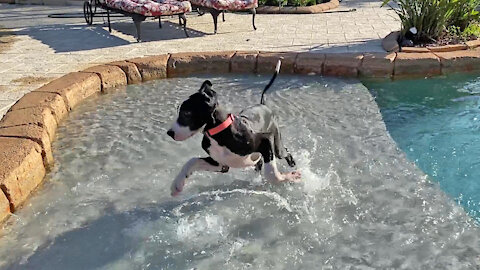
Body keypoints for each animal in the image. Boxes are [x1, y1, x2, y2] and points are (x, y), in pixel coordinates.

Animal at [166, 60, 300, 196]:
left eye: (186, 114)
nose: (169, 133)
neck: (220, 133)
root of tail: (263, 105)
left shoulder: (265, 140)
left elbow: (271, 174)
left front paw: (290, 176)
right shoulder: (220, 164)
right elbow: (192, 161)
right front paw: (177, 184)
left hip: (277, 146)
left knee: (285, 153)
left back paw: (293, 166)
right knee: (259, 163)